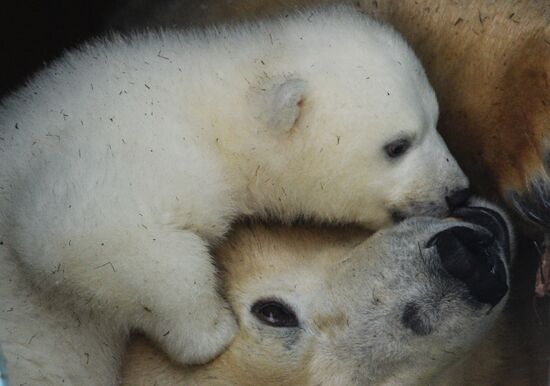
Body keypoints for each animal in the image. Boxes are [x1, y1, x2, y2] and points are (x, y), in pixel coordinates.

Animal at [0, 6, 470, 370]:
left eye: (437, 120)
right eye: (397, 145)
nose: (458, 192)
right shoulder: (137, 146)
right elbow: (79, 232)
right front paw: (212, 330)